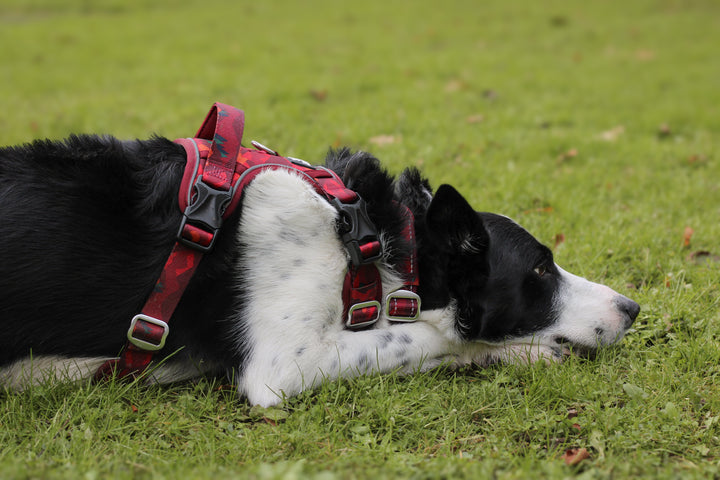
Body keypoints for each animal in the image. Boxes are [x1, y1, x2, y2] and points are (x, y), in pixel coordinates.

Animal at [0, 134, 640, 404]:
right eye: (541, 270)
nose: (633, 307)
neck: (364, 236)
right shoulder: (283, 366)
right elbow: (435, 338)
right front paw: (523, 349)